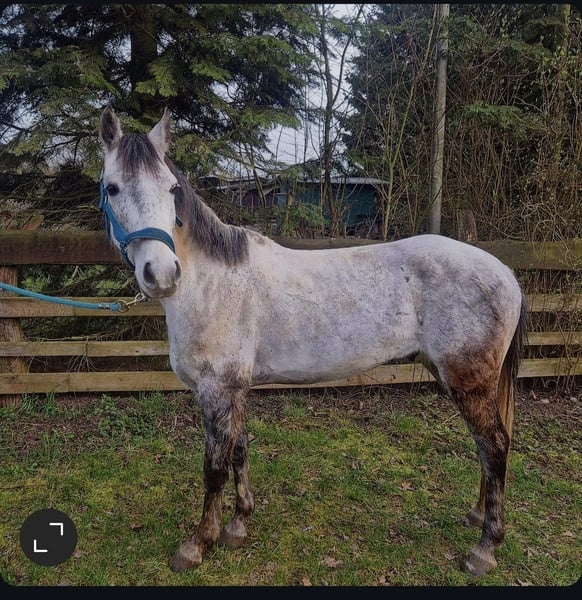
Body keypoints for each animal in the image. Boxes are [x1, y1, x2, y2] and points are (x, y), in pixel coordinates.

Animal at [98, 107, 527, 577]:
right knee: (486, 448)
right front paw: (237, 526)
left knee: (495, 446)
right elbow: (240, 452)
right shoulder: (235, 390)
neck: (211, 283)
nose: (162, 274)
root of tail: (506, 274)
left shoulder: (215, 390)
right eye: (112, 187)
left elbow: (214, 467)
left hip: (468, 382)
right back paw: (477, 515)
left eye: (172, 189)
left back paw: (484, 549)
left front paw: (197, 545)